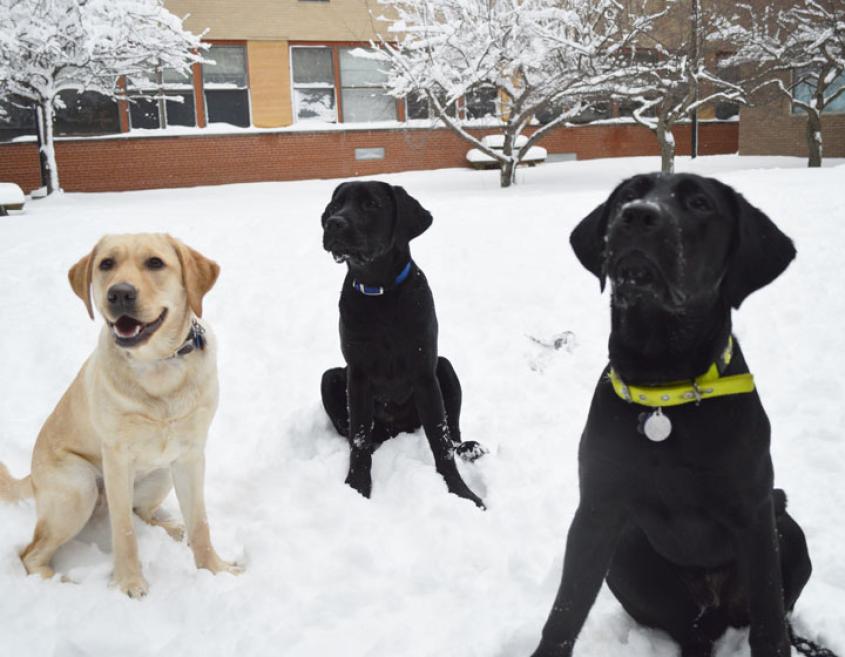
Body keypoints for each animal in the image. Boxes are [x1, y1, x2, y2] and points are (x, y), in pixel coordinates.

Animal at [536, 173, 816, 656]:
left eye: (700, 203)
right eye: (628, 196)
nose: (638, 216)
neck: (665, 388)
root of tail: (716, 604)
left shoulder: (754, 513)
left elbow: (768, 623)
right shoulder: (598, 509)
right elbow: (565, 610)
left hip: (786, 527)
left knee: (777, 613)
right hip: (627, 553)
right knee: (689, 630)